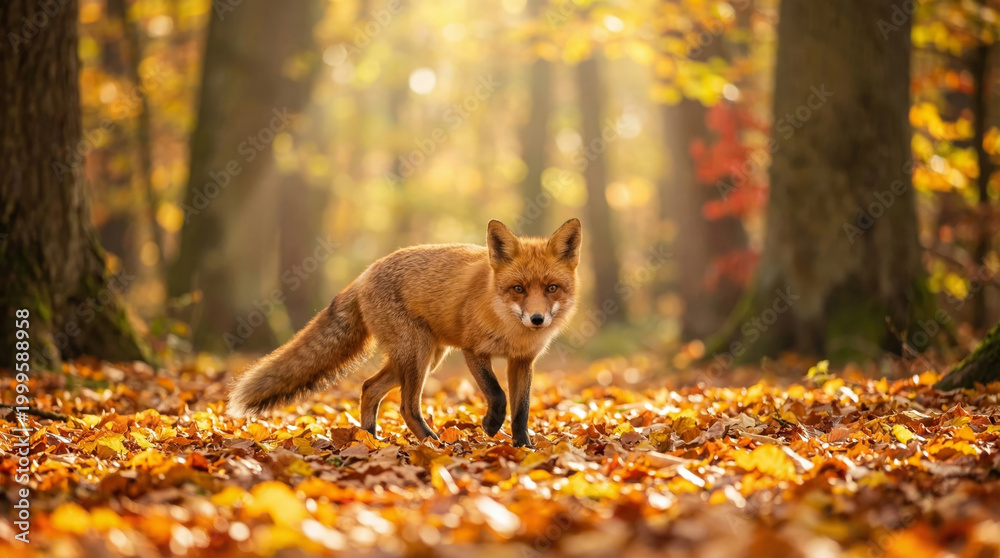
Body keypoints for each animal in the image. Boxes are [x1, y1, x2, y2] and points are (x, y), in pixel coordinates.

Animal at [227, 218, 582, 448]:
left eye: (551, 288)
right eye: (518, 288)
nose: (537, 319)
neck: (511, 328)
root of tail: (365, 272)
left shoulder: (522, 361)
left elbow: (522, 410)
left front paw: (524, 448)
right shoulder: (473, 351)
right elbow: (498, 395)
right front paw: (491, 425)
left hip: (423, 356)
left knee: (370, 387)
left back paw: (370, 438)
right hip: (418, 354)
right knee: (406, 406)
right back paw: (432, 443)